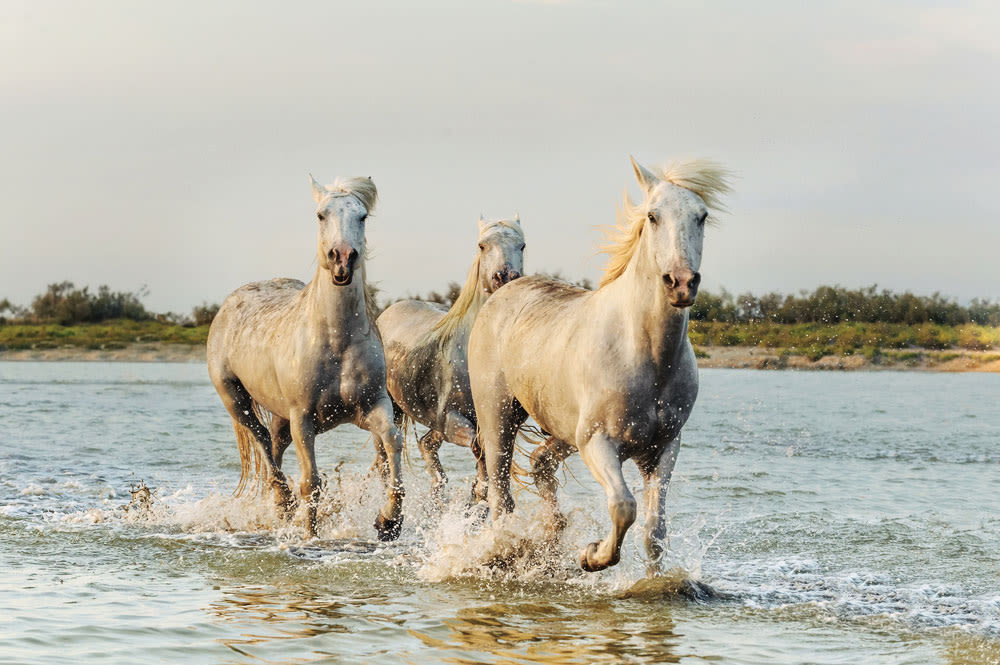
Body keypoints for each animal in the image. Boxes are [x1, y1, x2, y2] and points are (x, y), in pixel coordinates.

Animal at [207, 175, 406, 540]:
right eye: (320, 215)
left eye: (362, 216)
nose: (342, 259)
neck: (337, 341)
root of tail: (231, 302)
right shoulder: (303, 419)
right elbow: (311, 482)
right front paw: (310, 536)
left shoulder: (374, 407)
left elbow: (393, 444)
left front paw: (389, 521)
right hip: (236, 400)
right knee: (262, 445)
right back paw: (284, 505)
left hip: (280, 417)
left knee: (273, 447)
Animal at [464, 157, 732, 572]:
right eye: (653, 216)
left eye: (702, 216)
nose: (681, 283)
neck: (647, 354)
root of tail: (504, 290)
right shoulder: (598, 443)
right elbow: (624, 506)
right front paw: (592, 556)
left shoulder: (664, 448)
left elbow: (654, 531)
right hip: (499, 419)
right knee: (500, 495)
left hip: (561, 427)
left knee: (540, 463)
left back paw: (551, 535)